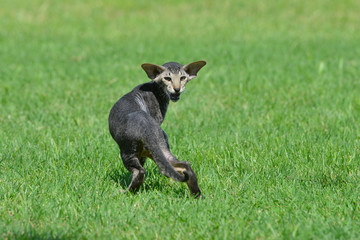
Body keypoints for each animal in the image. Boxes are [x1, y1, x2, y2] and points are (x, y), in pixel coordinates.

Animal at [108, 61, 207, 198]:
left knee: (140, 171)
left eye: (182, 78)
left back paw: (125, 193)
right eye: (167, 78)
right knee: (183, 166)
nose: (177, 89)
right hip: (160, 149)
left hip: (127, 151)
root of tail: (147, 128)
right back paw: (197, 195)